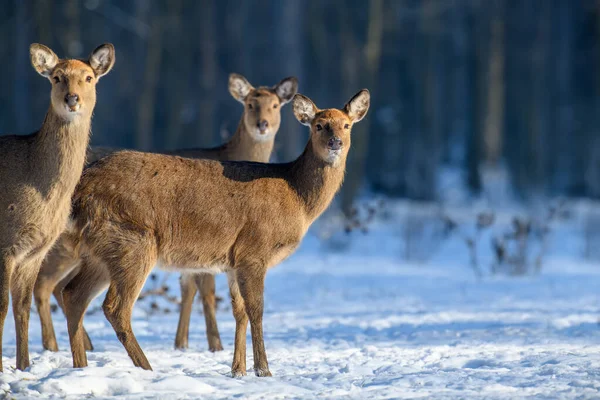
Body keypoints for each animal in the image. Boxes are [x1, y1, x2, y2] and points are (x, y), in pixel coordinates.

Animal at [0, 42, 115, 370]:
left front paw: (24, 365)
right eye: (56, 77)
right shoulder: (5, 243)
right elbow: (3, 308)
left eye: (89, 77)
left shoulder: (34, 251)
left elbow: (21, 307)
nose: (72, 98)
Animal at [32, 74, 298, 354]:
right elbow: (205, 290)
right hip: (70, 244)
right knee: (45, 283)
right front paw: (214, 345)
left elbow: (187, 289)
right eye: (249, 104)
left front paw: (182, 343)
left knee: (58, 286)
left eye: (275, 105)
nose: (262, 124)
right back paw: (56, 344)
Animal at [62, 89, 370, 376]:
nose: (335, 143)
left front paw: (237, 370)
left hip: (100, 251)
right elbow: (256, 309)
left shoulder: (233, 262)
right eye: (318, 125)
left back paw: (81, 366)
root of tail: (82, 187)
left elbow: (239, 311)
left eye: (346, 125)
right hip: (132, 241)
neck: (297, 197)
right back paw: (146, 368)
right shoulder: (254, 250)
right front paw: (263, 369)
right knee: (114, 307)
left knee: (73, 294)